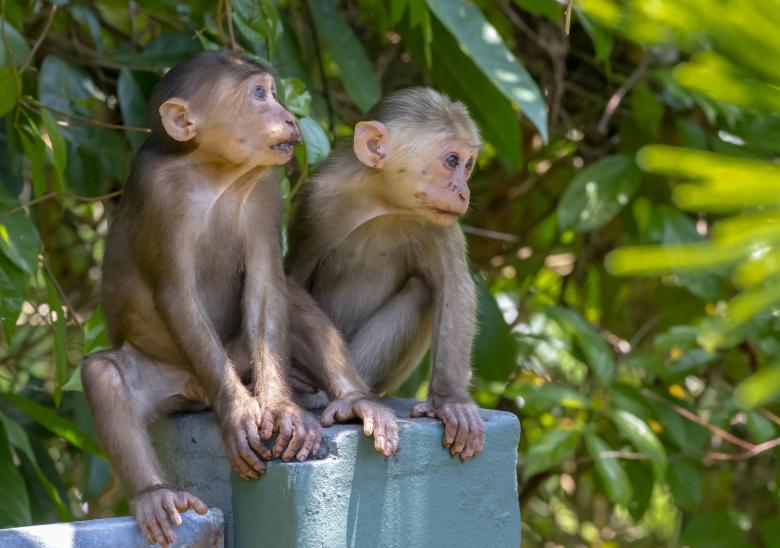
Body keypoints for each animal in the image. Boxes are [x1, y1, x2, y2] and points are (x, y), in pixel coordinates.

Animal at [80, 51, 398, 548]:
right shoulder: (159, 192)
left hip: (242, 358)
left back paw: (354, 400)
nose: (288, 117)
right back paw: (154, 493)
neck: (215, 173)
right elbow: (177, 295)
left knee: (292, 303)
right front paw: (237, 415)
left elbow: (268, 283)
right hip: (171, 376)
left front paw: (283, 412)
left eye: (273, 92)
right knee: (104, 375)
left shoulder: (265, 188)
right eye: (259, 94)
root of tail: (192, 393)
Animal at [287, 87, 485, 463]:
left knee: (422, 289)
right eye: (452, 161)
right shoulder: (316, 200)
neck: (382, 203)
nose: (464, 191)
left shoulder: (439, 223)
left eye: (468, 166)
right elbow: (290, 278)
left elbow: (454, 286)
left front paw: (450, 400)